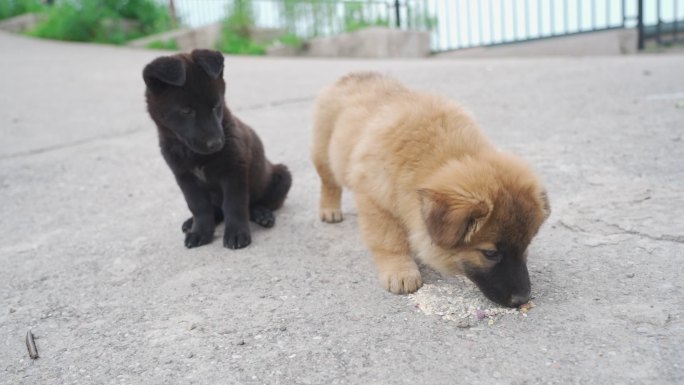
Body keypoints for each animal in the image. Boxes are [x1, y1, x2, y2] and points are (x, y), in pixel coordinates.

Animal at [143, 49, 292, 248]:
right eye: (186, 111)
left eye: (216, 106)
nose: (215, 144)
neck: (192, 153)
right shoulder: (184, 177)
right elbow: (198, 206)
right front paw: (200, 231)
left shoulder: (234, 172)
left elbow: (235, 205)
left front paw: (236, 233)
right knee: (217, 209)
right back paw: (192, 222)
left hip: (281, 177)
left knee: (255, 204)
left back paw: (262, 214)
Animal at [312, 71, 552, 306]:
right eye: (490, 253)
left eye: (526, 245)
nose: (522, 299)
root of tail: (355, 74)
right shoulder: (375, 200)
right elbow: (389, 240)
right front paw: (400, 270)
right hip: (323, 154)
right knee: (329, 183)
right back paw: (330, 210)